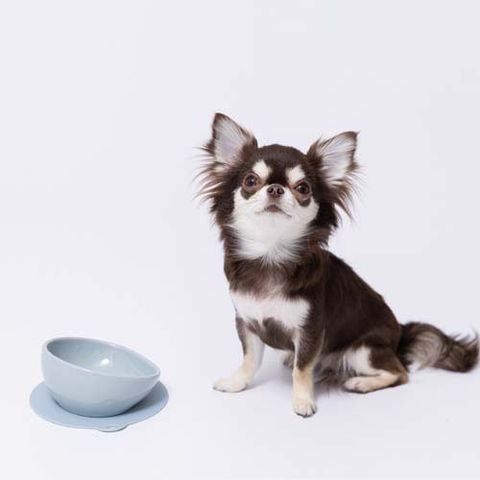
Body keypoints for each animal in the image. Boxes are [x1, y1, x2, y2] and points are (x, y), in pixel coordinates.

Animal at [198, 113, 479, 417]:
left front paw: (303, 401)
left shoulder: (310, 330)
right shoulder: (247, 321)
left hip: (363, 350)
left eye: (303, 188)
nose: (275, 189)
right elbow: (251, 358)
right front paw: (237, 382)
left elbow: (302, 369)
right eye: (251, 180)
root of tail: (400, 335)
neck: (271, 254)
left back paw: (361, 383)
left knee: (400, 373)